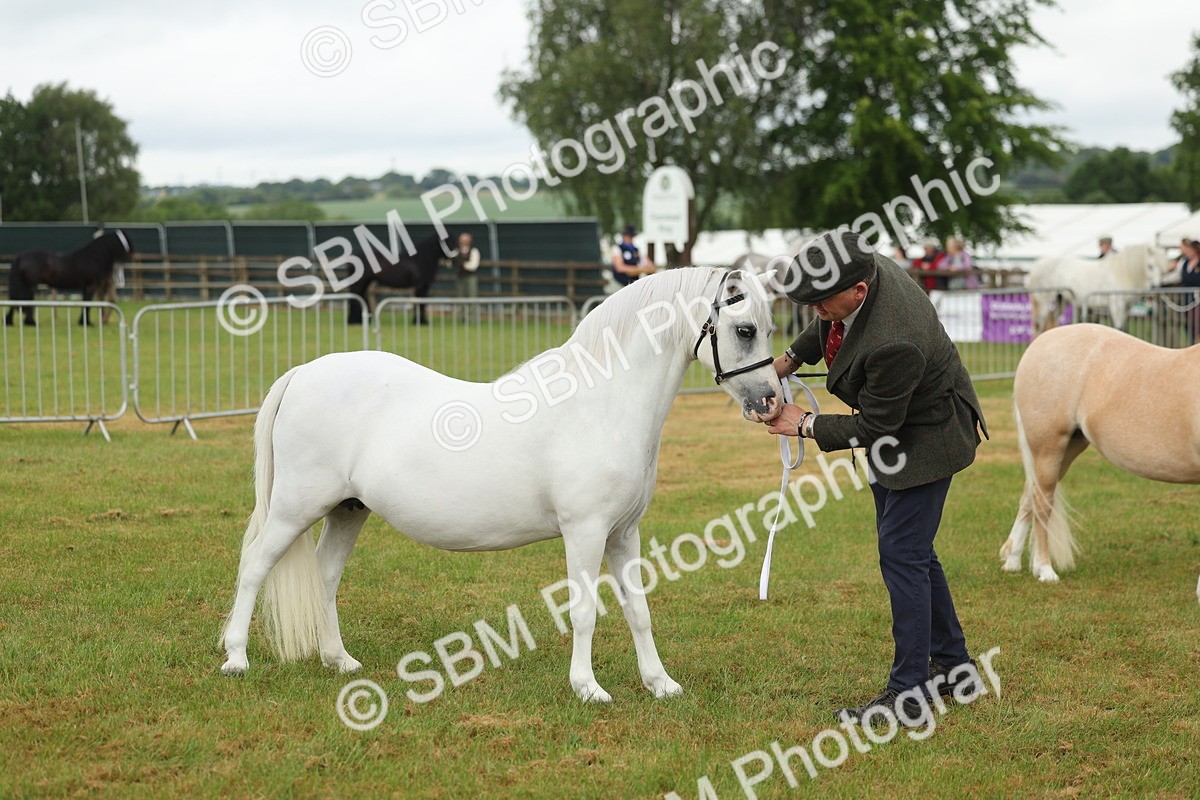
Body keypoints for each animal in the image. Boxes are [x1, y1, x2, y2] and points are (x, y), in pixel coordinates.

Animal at [5, 229, 133, 327]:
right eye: (125, 241)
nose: (131, 255)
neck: (93, 257)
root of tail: (20, 257)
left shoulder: (85, 287)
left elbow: (84, 303)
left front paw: (83, 322)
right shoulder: (91, 286)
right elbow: (88, 304)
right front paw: (87, 323)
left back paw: (14, 322)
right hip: (30, 286)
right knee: (23, 302)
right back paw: (30, 323)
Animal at [220, 267, 783, 702]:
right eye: (745, 329)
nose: (771, 402)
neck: (600, 404)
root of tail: (302, 373)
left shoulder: (624, 534)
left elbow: (638, 610)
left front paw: (659, 683)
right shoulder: (585, 532)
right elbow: (584, 610)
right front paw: (588, 688)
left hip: (347, 509)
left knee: (325, 575)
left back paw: (339, 660)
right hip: (295, 508)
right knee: (254, 566)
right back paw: (236, 659)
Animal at [1000, 323, 1200, 599]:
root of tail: (1040, 343)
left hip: (1068, 450)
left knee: (1029, 497)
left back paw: (1012, 560)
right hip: (1048, 448)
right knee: (1041, 504)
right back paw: (1044, 570)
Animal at [1025, 243, 1170, 334]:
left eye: (1163, 269)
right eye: (1150, 266)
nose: (1155, 287)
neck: (1122, 273)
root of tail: (1034, 267)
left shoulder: (1126, 307)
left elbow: (1124, 328)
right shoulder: (1116, 304)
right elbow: (1119, 327)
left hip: (1060, 301)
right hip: (1044, 301)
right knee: (1039, 325)